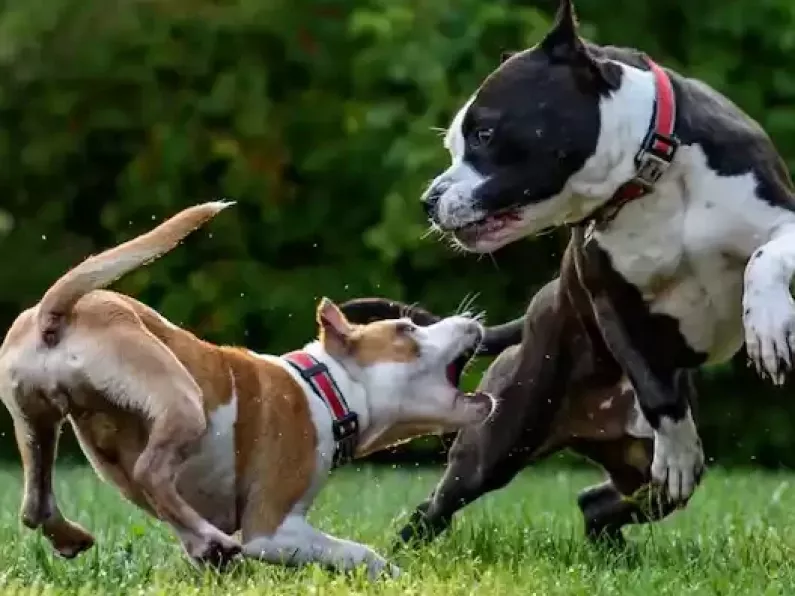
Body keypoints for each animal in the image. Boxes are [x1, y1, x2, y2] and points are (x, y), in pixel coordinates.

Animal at [0, 203, 492, 580]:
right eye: (407, 330)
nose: (472, 320)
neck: (327, 388)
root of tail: (55, 314)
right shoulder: (272, 530)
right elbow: (355, 551)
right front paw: (393, 575)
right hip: (180, 397)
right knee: (150, 470)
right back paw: (211, 539)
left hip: (35, 421)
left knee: (36, 504)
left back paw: (83, 537)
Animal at [422, 0, 795, 508]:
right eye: (453, 144)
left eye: (483, 133)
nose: (428, 200)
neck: (649, 176)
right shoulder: (610, 301)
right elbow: (657, 392)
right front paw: (678, 452)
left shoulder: (780, 219)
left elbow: (764, 258)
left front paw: (768, 327)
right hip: (500, 436)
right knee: (437, 504)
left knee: (598, 504)